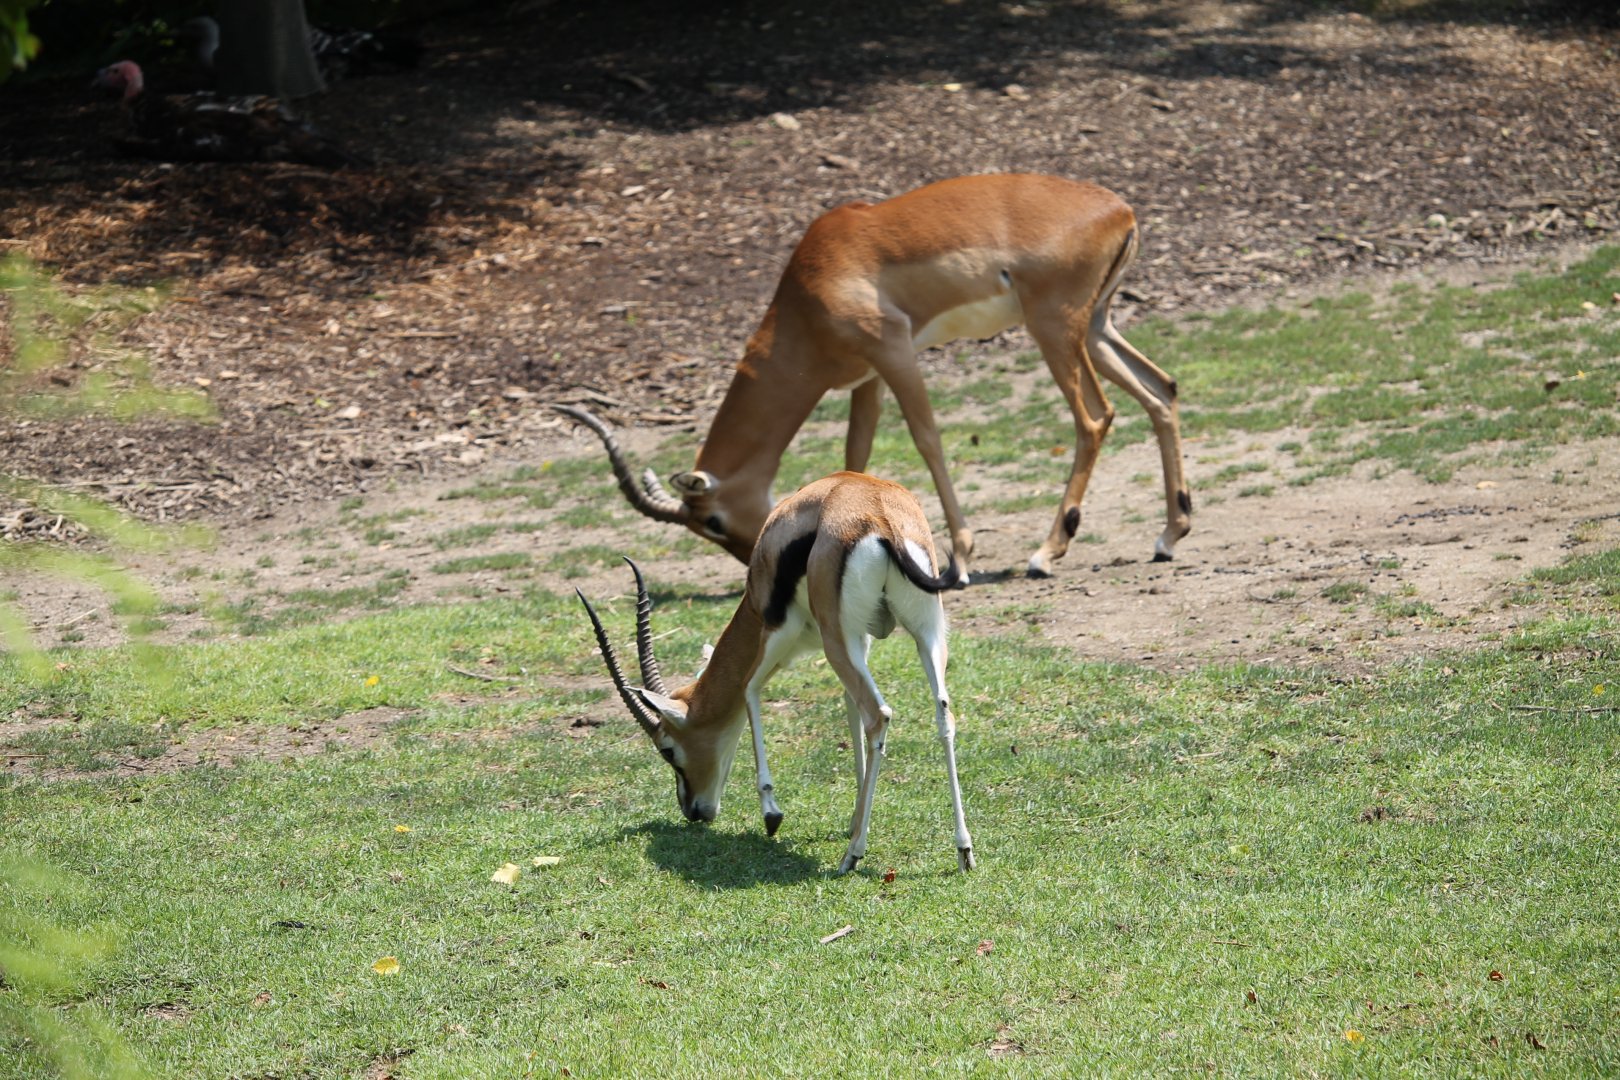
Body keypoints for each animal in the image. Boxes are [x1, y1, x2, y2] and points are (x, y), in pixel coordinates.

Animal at [555, 172, 1190, 582]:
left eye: (711, 520)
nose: (749, 560)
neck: (810, 287)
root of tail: (1120, 211)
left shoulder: (895, 352)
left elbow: (928, 441)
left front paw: (961, 560)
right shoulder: (866, 378)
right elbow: (854, 456)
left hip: (1055, 330)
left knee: (1096, 417)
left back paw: (1045, 552)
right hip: (1097, 328)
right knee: (1161, 391)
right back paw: (1169, 535)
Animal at [575, 471, 974, 874]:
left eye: (668, 750)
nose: (693, 811)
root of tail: (881, 518)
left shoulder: (777, 632)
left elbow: (748, 689)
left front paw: (772, 815)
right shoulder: (860, 639)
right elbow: (850, 712)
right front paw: (853, 818)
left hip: (837, 640)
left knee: (878, 714)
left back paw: (853, 856)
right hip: (925, 632)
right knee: (941, 713)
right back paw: (963, 851)